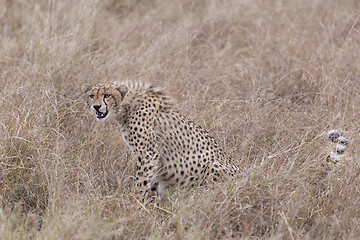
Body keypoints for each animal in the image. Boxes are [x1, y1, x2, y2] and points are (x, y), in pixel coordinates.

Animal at [82, 82, 239, 197]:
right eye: (91, 95)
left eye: (107, 95)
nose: (96, 106)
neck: (126, 106)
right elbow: (151, 182)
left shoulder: (147, 153)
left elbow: (141, 182)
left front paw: (137, 204)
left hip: (214, 167)